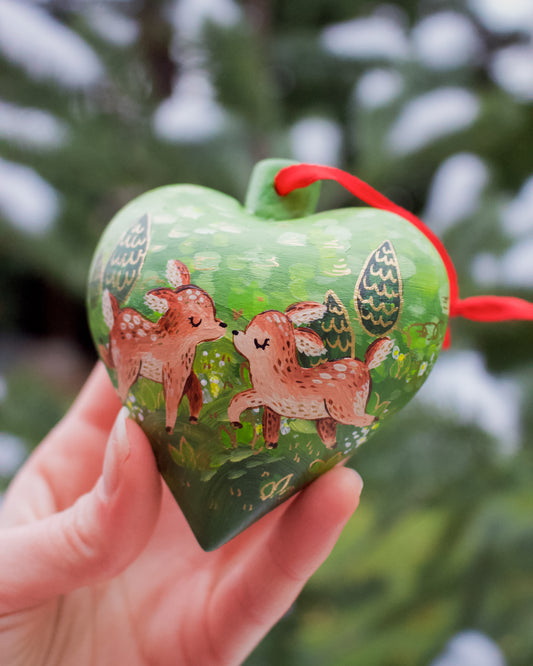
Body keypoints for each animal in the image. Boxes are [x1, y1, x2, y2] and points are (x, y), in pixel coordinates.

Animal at [100, 256, 227, 434]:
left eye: (213, 309)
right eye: (195, 320)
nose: (223, 325)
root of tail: (116, 316)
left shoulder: (186, 372)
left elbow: (196, 391)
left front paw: (193, 420)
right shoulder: (173, 373)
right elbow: (172, 402)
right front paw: (169, 429)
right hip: (129, 365)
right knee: (122, 386)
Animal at [228, 304, 390, 448]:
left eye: (256, 340)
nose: (235, 332)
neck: (278, 372)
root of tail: (366, 366)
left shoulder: (266, 395)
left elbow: (239, 399)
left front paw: (236, 422)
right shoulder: (270, 406)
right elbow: (267, 423)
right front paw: (270, 444)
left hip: (342, 407)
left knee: (362, 418)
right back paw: (332, 445)